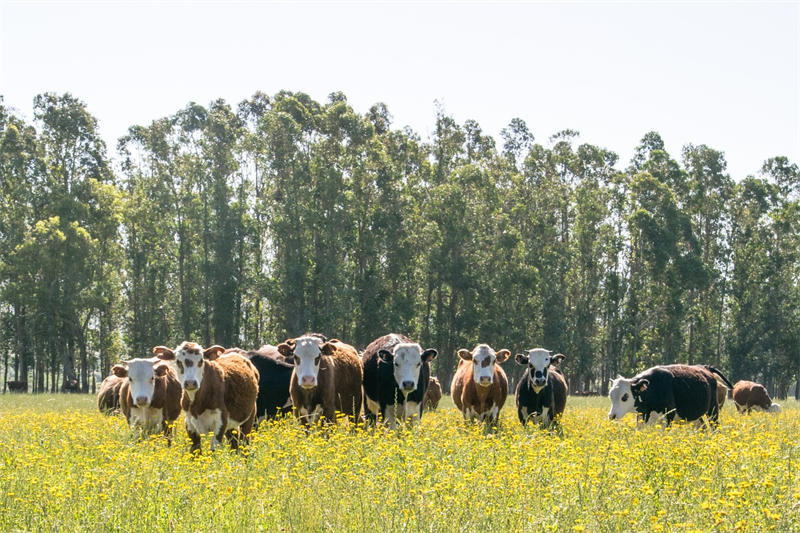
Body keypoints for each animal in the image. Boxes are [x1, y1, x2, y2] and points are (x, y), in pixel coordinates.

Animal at [608, 364, 736, 426]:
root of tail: (705, 367)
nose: (612, 415)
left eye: (625, 396)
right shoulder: (643, 416)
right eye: (611, 396)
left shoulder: (669, 415)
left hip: (713, 411)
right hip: (696, 415)